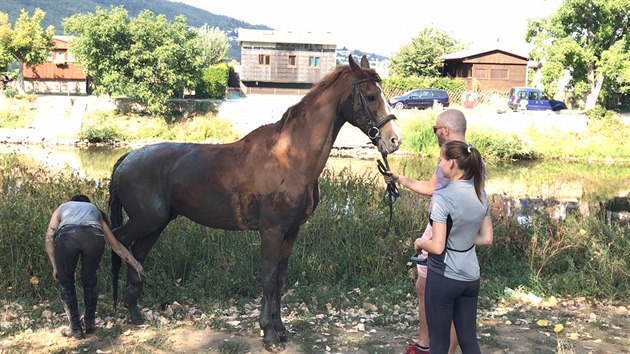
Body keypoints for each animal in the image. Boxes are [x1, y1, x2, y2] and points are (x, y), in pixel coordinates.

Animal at [108, 54, 400, 350]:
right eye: (371, 96)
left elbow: (280, 277)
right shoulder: (271, 231)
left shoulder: (291, 231)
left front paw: (280, 328)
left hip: (155, 224)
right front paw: (269, 334)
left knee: (136, 254)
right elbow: (269, 277)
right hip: (146, 221)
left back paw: (134, 312)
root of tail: (127, 158)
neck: (291, 157)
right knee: (118, 242)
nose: (394, 139)